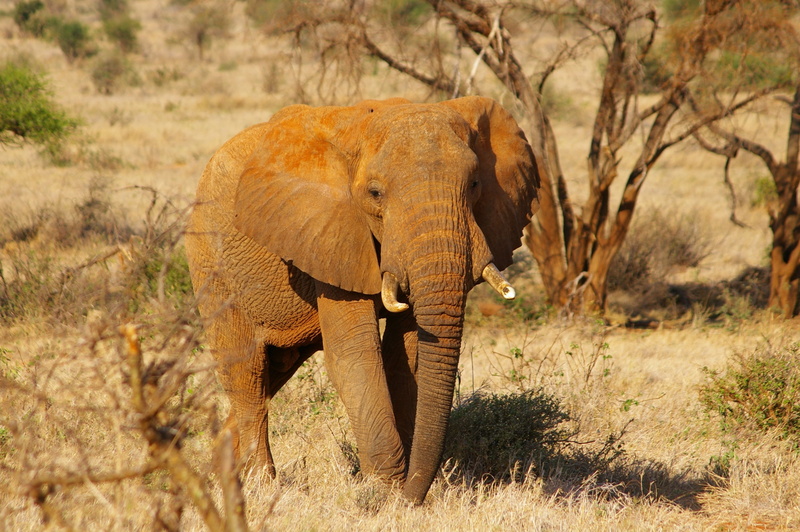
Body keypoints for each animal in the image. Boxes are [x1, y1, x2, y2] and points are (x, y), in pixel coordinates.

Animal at [184, 95, 539, 504]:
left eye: (476, 184)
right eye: (375, 193)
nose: (413, 498)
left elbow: (407, 354)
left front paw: (395, 490)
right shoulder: (329, 234)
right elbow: (355, 354)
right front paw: (384, 493)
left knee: (274, 371)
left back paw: (220, 474)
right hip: (211, 265)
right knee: (248, 374)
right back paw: (260, 487)